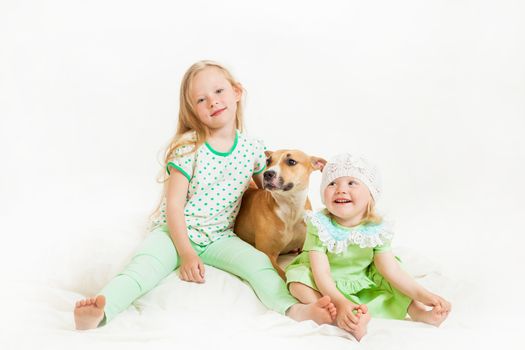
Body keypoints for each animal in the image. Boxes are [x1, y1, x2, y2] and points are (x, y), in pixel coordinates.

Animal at [233, 150, 324, 278]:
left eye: (291, 161)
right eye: (268, 161)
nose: (267, 174)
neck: (291, 208)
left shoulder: (303, 248)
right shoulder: (268, 254)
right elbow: (284, 275)